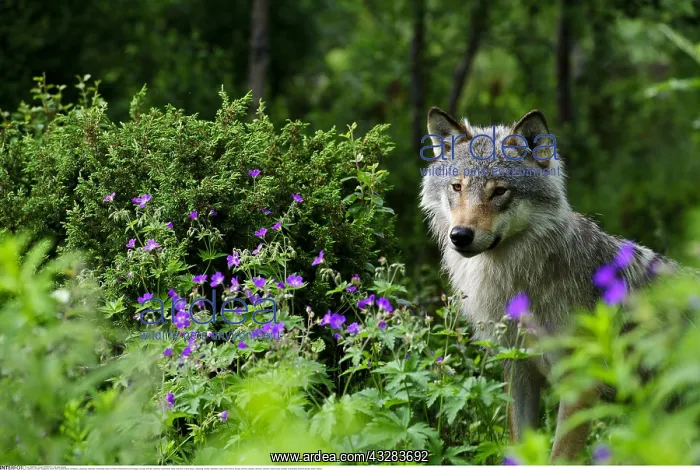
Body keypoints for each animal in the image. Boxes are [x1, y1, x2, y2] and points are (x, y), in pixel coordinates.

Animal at [419, 107, 675, 461]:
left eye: (499, 191)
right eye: (457, 187)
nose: (460, 235)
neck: (518, 283)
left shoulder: (581, 385)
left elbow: (559, 455)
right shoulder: (519, 373)